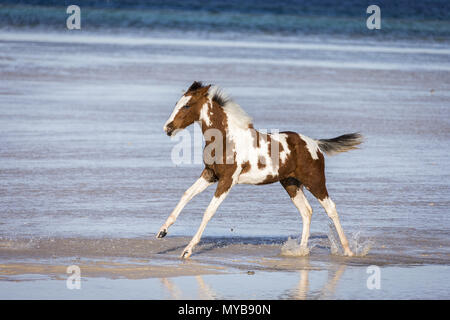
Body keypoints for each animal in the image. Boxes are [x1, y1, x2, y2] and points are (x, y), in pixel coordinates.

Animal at [158, 81, 362, 258]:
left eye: (187, 106)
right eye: (177, 103)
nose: (167, 128)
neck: (226, 139)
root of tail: (315, 144)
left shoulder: (227, 180)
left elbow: (208, 211)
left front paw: (187, 250)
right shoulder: (210, 174)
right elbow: (186, 194)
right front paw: (162, 231)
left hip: (315, 181)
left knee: (331, 209)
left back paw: (348, 251)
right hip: (291, 183)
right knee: (306, 211)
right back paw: (301, 250)